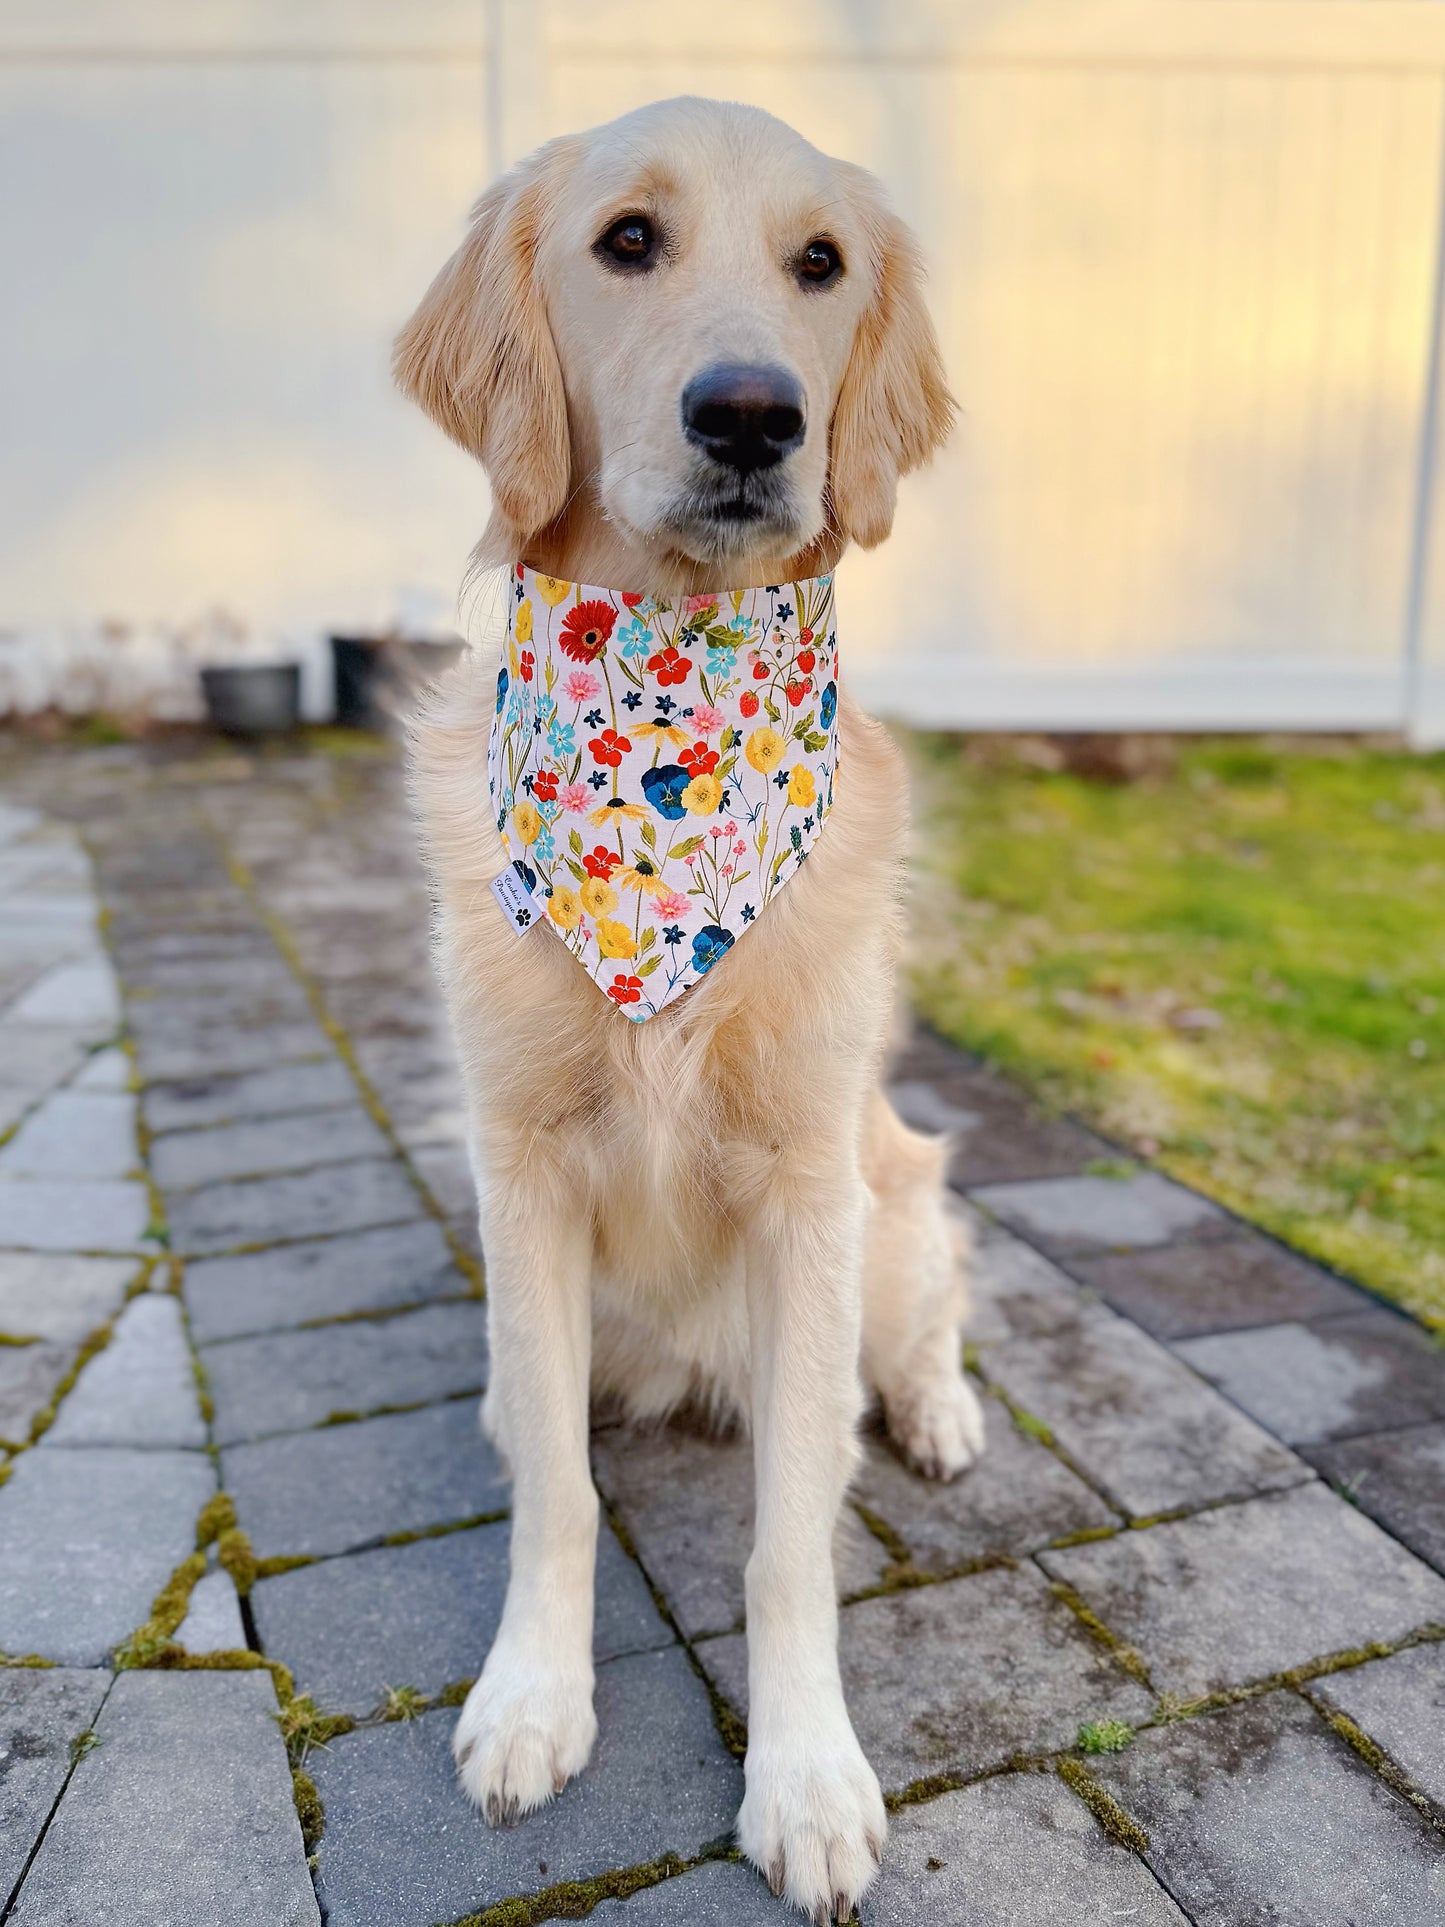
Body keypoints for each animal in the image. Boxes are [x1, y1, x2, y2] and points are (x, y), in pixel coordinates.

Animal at [396, 97, 986, 1919]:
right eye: (628, 241)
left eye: (822, 263)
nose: (750, 415)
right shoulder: (521, 1172)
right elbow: (557, 1495)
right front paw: (533, 1697)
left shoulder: (808, 1190)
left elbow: (793, 1530)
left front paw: (805, 1779)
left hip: (893, 1205)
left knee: (934, 1313)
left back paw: (941, 1411)